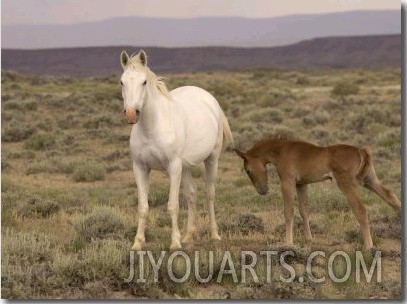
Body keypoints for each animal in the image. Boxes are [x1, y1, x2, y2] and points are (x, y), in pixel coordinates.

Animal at [119, 49, 234, 249]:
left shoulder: (173, 166)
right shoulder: (140, 167)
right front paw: (138, 243)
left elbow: (173, 205)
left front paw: (174, 242)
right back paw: (189, 236)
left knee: (209, 193)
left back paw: (214, 234)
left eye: (144, 82)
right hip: (185, 167)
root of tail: (209, 98)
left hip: (211, 159)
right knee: (192, 194)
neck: (152, 128)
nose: (132, 114)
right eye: (122, 82)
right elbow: (143, 207)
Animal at [236, 137, 402, 251]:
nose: (262, 191)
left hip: (346, 183)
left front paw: (288, 243)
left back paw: (368, 246)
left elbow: (289, 211)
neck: (282, 150)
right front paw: (309, 239)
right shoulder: (301, 184)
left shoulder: (287, 182)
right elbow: (304, 210)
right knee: (392, 199)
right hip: (369, 180)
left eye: (248, 170)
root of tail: (360, 151)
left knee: (361, 209)